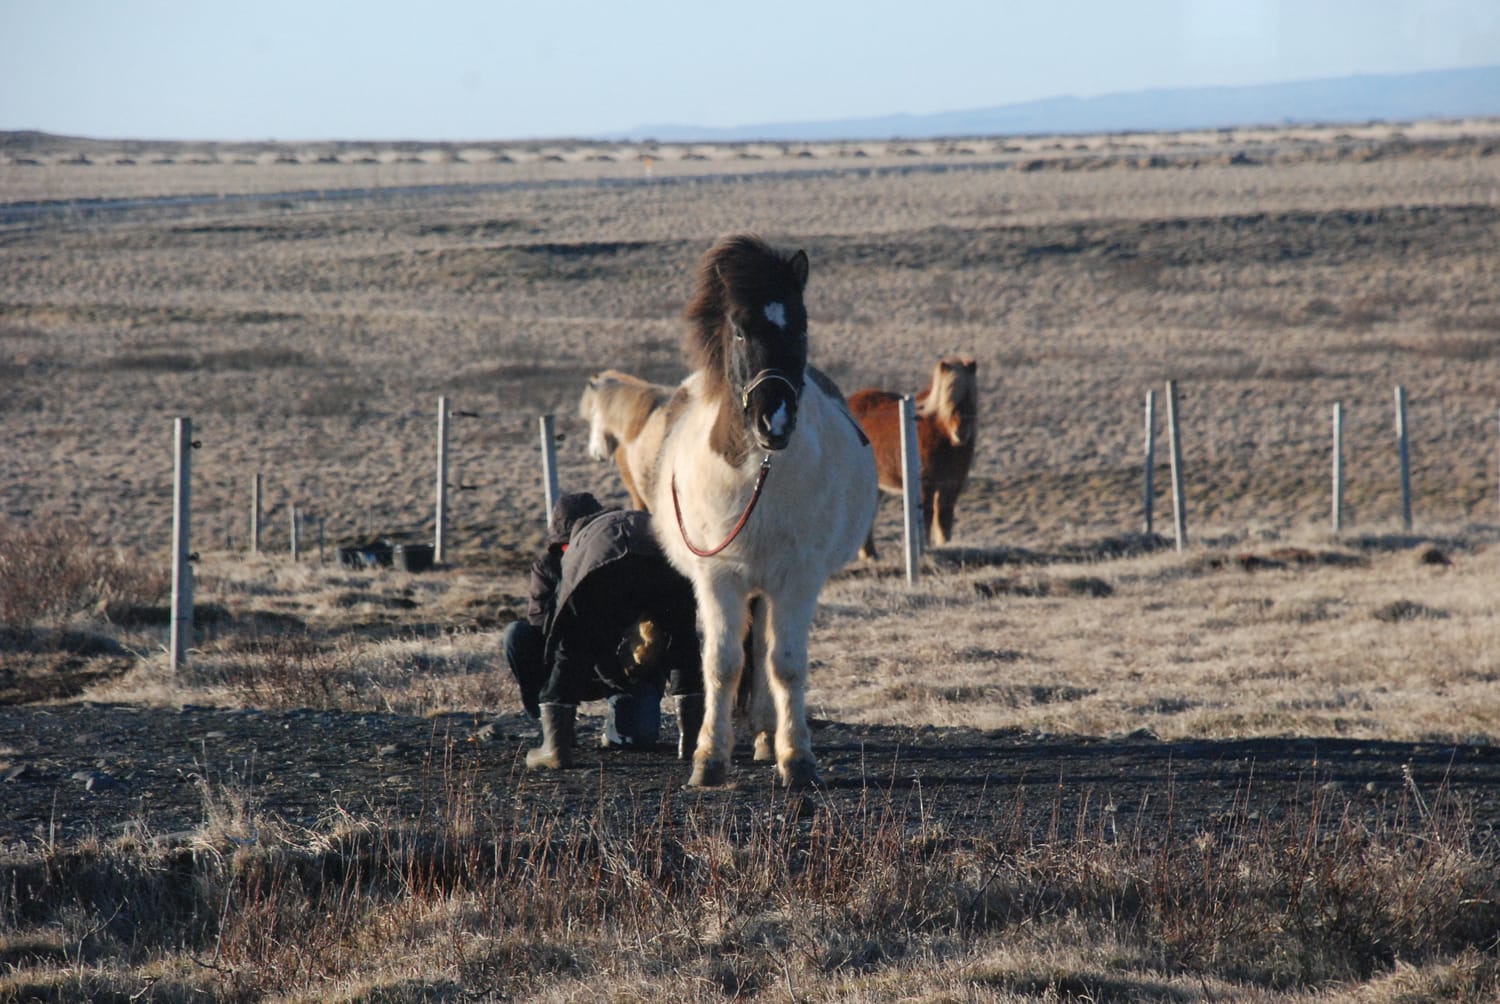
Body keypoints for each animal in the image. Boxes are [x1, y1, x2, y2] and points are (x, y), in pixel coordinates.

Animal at [651, 234, 877, 789]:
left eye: (801, 326)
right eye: (738, 330)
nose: (773, 420)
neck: (759, 472)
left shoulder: (797, 577)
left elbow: (786, 664)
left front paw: (796, 758)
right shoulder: (718, 577)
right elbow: (722, 665)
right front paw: (709, 759)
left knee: (766, 653)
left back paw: (765, 736)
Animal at [848, 356, 979, 558]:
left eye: (969, 397)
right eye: (948, 400)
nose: (961, 433)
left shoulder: (953, 484)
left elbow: (944, 518)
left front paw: (945, 545)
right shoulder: (926, 484)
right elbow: (926, 517)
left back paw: (871, 556)